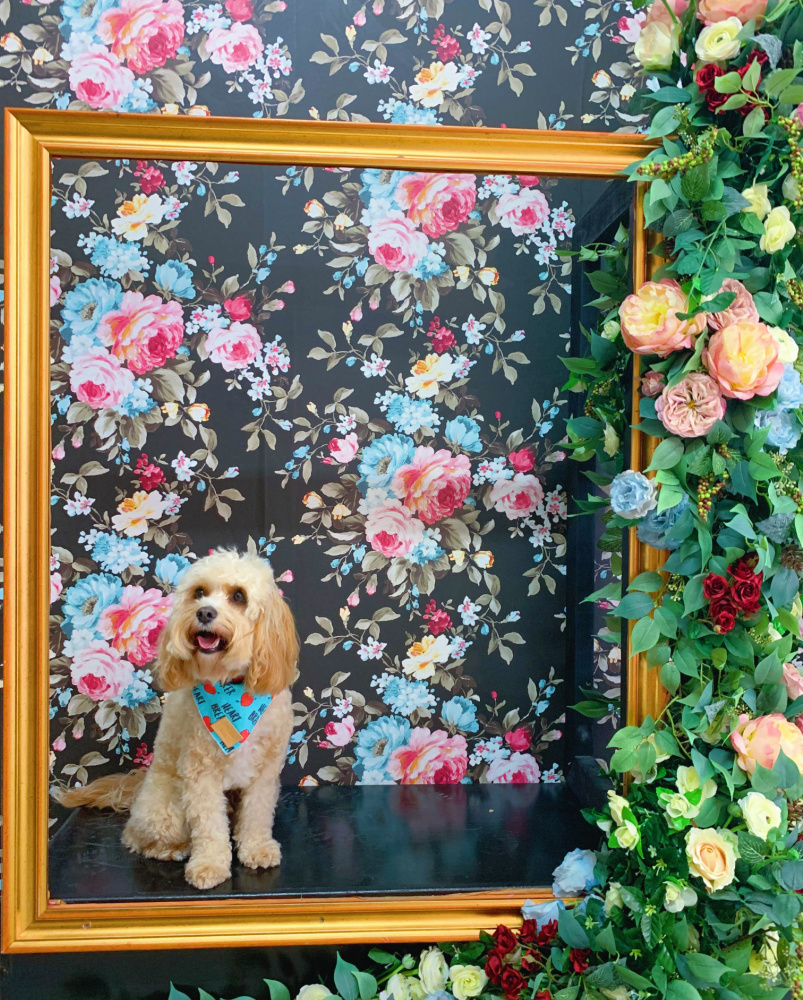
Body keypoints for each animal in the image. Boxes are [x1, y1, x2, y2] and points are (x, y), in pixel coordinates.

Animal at [53, 556, 300, 892]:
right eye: (199, 592)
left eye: (239, 596)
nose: (205, 612)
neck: (232, 687)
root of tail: (138, 789)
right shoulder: (200, 772)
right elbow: (208, 825)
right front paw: (209, 865)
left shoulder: (265, 772)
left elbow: (257, 815)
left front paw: (257, 848)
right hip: (166, 808)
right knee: (136, 836)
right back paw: (172, 849)